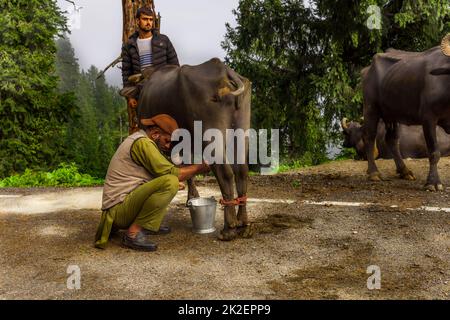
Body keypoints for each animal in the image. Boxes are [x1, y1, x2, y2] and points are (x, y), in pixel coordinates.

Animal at [135, 58, 251, 241]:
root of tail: (224, 70)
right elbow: (188, 166)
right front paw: (192, 197)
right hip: (241, 130)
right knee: (241, 171)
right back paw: (244, 224)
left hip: (210, 133)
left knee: (225, 173)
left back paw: (229, 228)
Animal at [360, 35, 450, 190]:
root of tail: (367, 70)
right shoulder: (428, 119)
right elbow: (434, 152)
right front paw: (433, 183)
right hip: (370, 108)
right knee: (369, 136)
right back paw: (374, 173)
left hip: (391, 114)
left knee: (392, 140)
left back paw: (405, 171)